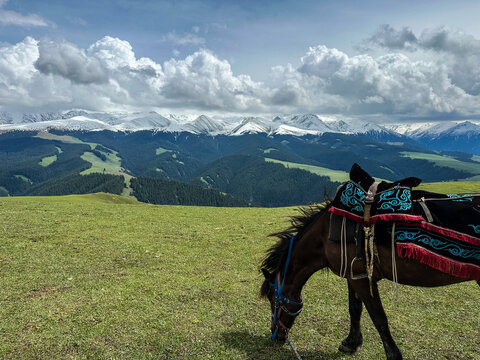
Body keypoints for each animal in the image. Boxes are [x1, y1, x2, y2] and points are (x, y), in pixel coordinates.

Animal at [260, 202, 478, 360]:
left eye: (272, 299)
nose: (276, 334)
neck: (325, 235)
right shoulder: (353, 276)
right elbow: (355, 309)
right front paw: (351, 343)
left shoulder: (365, 279)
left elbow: (378, 317)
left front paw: (393, 355)